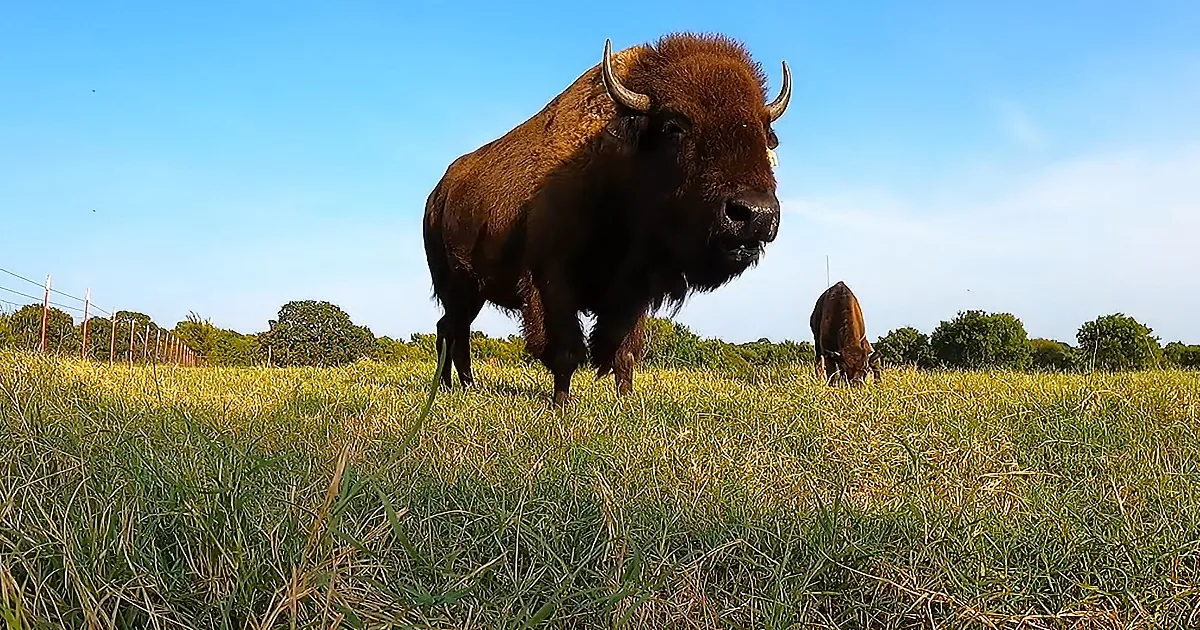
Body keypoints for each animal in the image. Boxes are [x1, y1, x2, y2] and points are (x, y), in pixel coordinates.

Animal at [423, 33, 792, 405]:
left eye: (765, 129)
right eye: (674, 125)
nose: (756, 214)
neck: (613, 163)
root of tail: (438, 194)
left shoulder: (633, 290)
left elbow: (622, 350)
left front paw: (626, 401)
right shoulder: (550, 280)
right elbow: (565, 349)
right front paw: (561, 404)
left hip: (472, 293)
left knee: (451, 328)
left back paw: (458, 385)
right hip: (457, 285)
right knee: (454, 329)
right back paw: (458, 385)